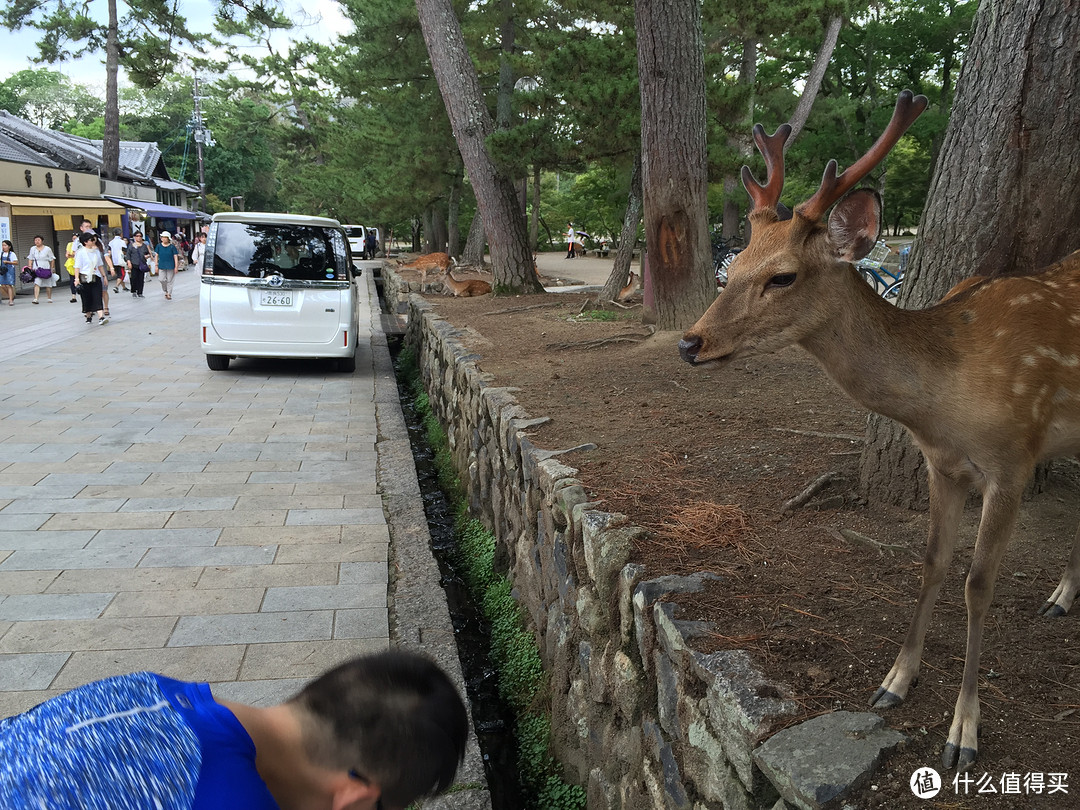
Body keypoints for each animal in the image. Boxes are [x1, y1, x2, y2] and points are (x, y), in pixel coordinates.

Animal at [682, 91, 1080, 777]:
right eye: (731, 267)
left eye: (782, 276)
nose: (690, 342)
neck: (946, 402)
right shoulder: (942, 463)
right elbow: (932, 561)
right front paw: (894, 681)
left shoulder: (1013, 461)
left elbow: (978, 584)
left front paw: (963, 731)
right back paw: (1062, 595)